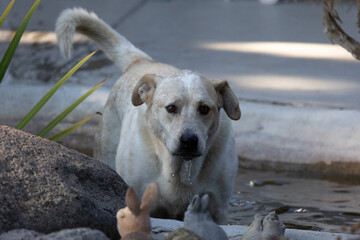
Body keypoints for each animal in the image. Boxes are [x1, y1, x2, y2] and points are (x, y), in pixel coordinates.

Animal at [56, 7, 240, 225]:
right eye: (171, 108)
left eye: (204, 109)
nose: (188, 141)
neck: (178, 169)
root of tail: (141, 61)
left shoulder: (217, 209)